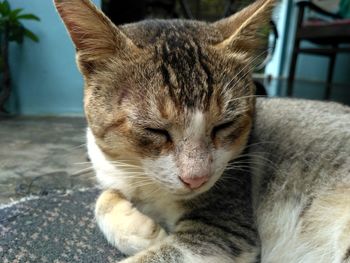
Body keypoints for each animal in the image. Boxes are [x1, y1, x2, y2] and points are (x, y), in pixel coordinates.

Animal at [54, 0, 350, 262]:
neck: (142, 180)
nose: (196, 179)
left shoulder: (224, 226)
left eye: (225, 124)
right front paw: (143, 229)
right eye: (154, 129)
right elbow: (103, 197)